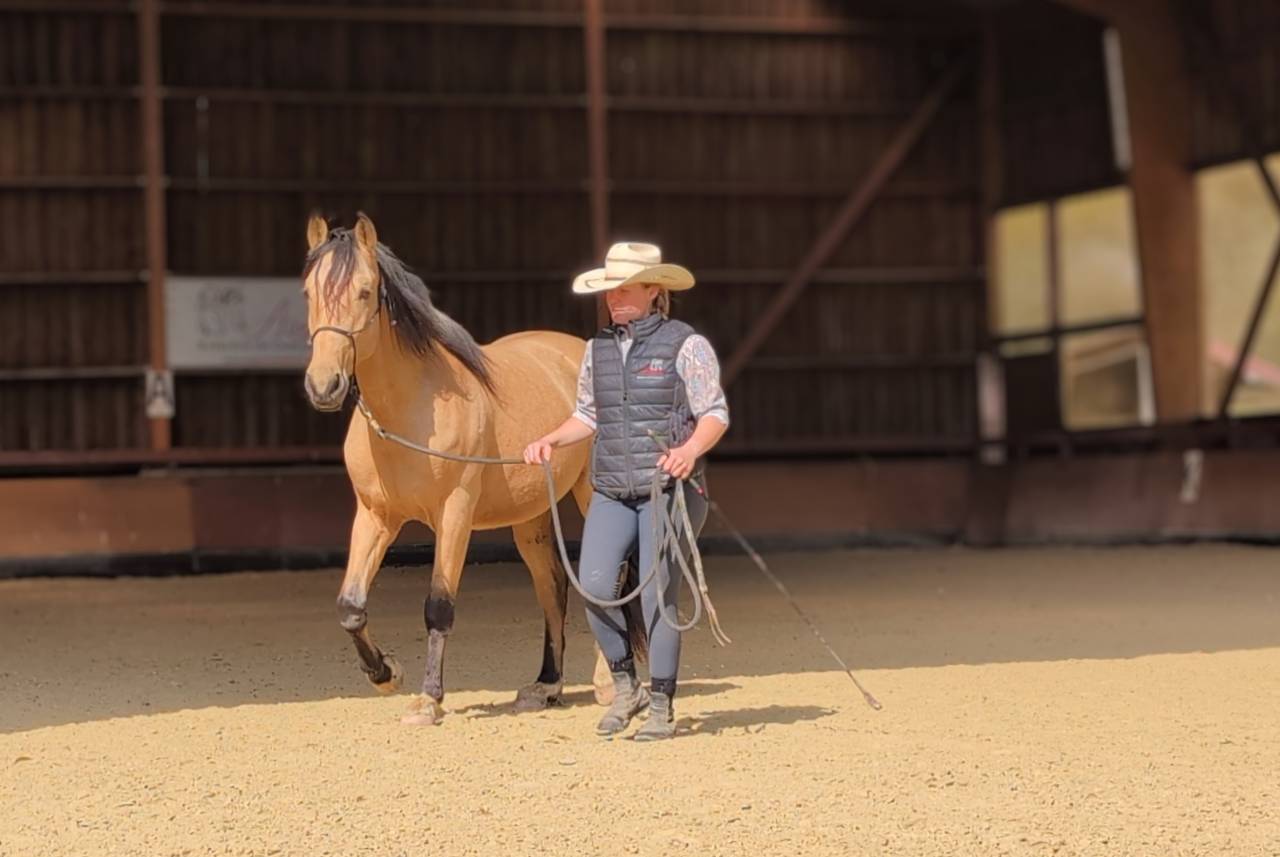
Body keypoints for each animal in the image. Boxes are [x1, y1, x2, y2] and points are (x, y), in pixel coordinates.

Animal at [301, 213, 627, 725]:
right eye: (307, 293)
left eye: (365, 292)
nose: (323, 386)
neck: (411, 409)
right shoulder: (376, 516)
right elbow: (350, 606)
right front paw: (386, 674)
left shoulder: (454, 514)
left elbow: (439, 605)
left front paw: (428, 699)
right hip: (531, 519)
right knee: (552, 586)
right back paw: (546, 686)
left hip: (592, 495)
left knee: (602, 578)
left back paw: (605, 684)